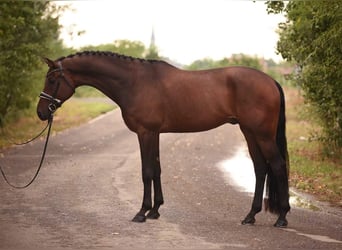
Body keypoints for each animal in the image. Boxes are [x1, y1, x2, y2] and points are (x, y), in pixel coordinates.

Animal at [36, 50, 288, 227]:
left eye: (52, 80)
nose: (41, 113)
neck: (134, 82)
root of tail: (272, 81)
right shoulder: (154, 133)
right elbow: (156, 169)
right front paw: (155, 210)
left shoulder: (145, 132)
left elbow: (146, 171)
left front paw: (141, 212)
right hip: (249, 132)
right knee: (260, 168)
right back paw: (250, 216)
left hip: (262, 134)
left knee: (277, 165)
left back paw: (282, 217)